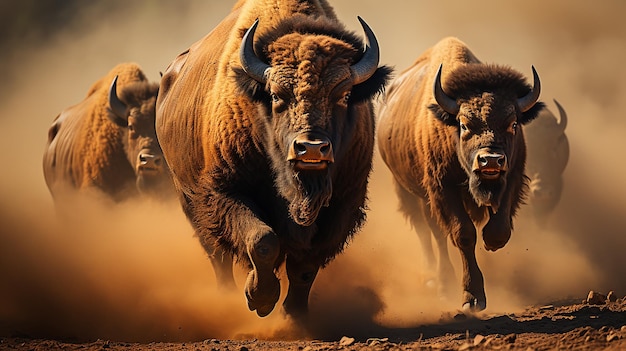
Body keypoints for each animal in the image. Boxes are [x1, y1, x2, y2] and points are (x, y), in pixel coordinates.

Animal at [155, 0, 390, 320]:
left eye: (343, 95)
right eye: (277, 96)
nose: (311, 149)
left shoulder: (342, 204)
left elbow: (306, 263)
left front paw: (295, 313)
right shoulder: (226, 192)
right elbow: (263, 241)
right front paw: (261, 299)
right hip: (188, 198)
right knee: (217, 254)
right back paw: (225, 295)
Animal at [376, 37, 540, 312]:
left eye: (513, 124)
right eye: (463, 125)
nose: (490, 160)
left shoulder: (512, 178)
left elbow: (500, 226)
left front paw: (491, 242)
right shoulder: (443, 188)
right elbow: (463, 234)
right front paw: (472, 298)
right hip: (407, 190)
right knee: (430, 233)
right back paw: (438, 282)